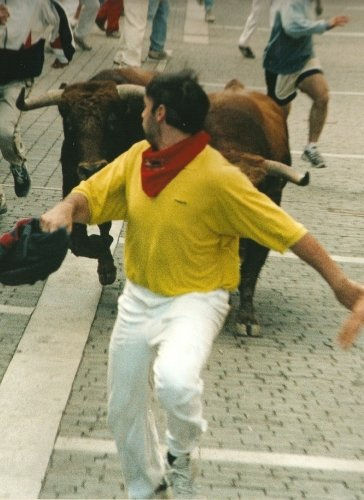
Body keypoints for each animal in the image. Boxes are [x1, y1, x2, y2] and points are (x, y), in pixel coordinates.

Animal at [15, 67, 308, 336]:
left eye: (111, 120)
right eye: (69, 123)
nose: (91, 167)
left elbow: (251, 269)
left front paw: (247, 318)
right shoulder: (73, 184)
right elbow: (82, 241)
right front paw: (106, 264)